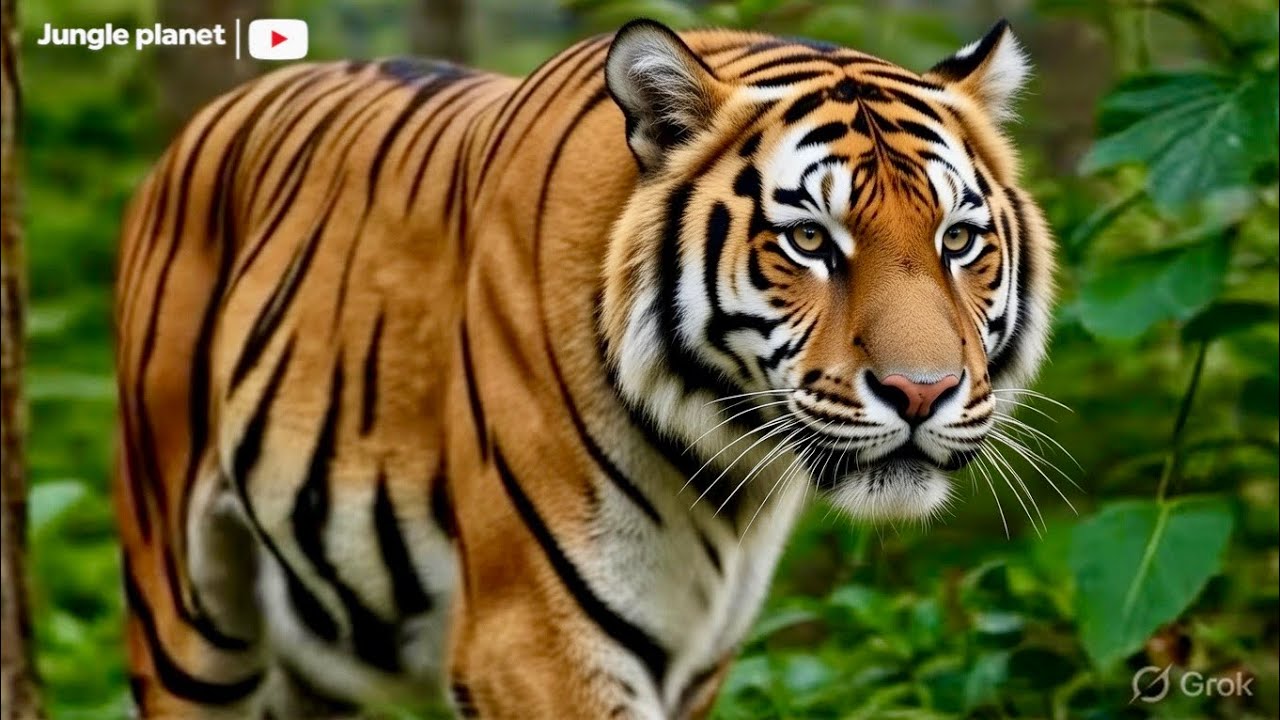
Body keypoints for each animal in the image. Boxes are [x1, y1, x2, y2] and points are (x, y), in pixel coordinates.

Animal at [113, 17, 1055, 720]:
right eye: (809, 240)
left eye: (957, 240)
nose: (921, 393)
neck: (728, 461)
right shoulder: (534, 636)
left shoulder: (697, 657)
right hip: (184, 617)